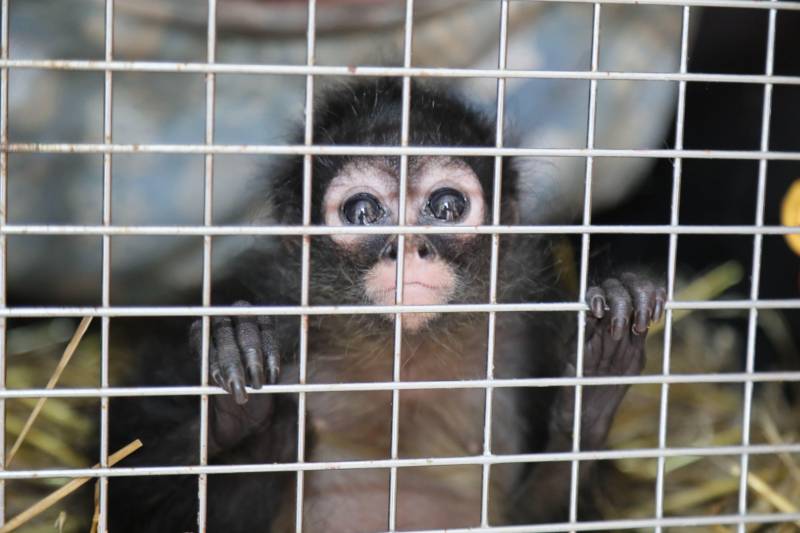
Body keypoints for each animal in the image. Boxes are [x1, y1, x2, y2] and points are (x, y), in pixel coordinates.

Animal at [108, 79, 668, 532]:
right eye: (363, 211)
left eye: (447, 207)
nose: (407, 246)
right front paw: (244, 400)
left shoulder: (527, 336)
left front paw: (597, 378)